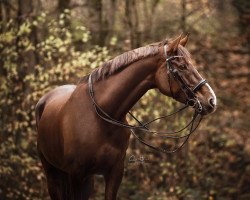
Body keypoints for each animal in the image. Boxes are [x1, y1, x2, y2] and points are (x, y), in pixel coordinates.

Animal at [35, 35, 217, 199]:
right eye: (182, 66)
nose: (211, 100)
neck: (100, 116)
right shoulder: (76, 174)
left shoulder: (114, 173)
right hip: (53, 174)